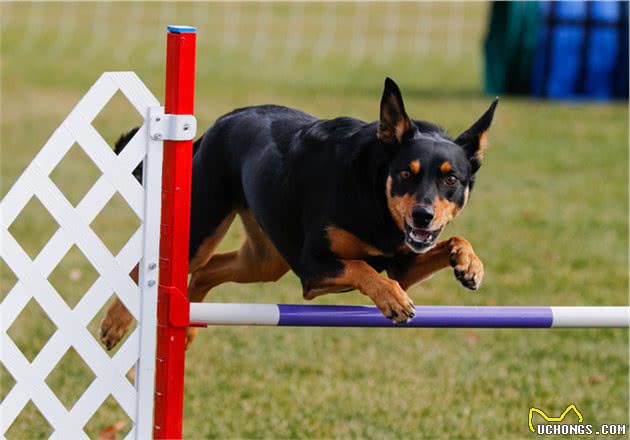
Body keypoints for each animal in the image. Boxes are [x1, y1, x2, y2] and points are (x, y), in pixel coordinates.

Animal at [100, 77, 498, 348]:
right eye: (405, 174)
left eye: (451, 178)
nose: (422, 216)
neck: (374, 196)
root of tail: (214, 127)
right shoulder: (312, 268)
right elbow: (363, 267)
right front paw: (393, 298)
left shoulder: (404, 262)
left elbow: (450, 241)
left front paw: (470, 265)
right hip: (201, 228)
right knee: (153, 267)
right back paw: (116, 323)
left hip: (265, 259)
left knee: (205, 273)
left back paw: (184, 330)